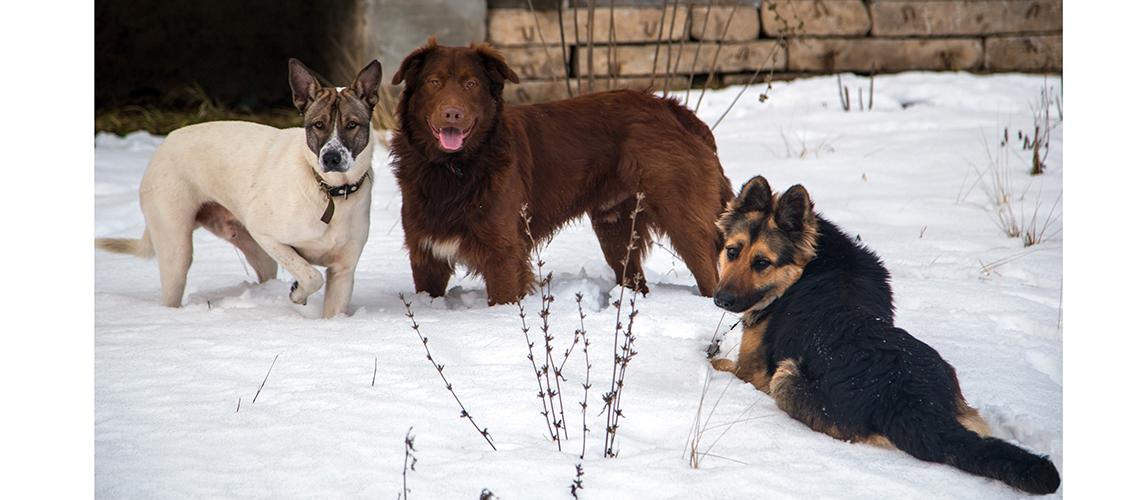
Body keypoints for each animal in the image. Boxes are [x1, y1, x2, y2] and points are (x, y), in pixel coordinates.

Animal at [97, 57, 381, 315]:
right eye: (318, 125)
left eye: (352, 124)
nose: (331, 158)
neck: (330, 191)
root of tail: (165, 142)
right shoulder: (266, 234)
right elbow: (312, 275)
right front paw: (297, 293)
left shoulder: (343, 271)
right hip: (177, 250)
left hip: (256, 250)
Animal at [385, 37, 730, 303]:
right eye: (434, 82)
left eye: (471, 84)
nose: (452, 113)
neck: (454, 168)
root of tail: (675, 109)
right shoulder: (426, 254)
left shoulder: (502, 255)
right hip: (616, 226)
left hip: (682, 219)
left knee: (708, 274)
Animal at [712, 174, 1057, 492]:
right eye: (732, 251)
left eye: (762, 262)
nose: (721, 300)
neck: (809, 266)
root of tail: (906, 398)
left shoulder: (750, 371)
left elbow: (719, 363)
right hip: (962, 405)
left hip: (786, 378)